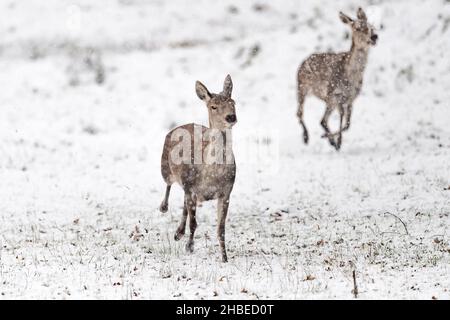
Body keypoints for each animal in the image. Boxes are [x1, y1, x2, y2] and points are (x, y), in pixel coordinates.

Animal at [159, 75, 237, 262]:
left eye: (233, 102)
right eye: (213, 106)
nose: (231, 117)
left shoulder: (226, 192)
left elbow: (221, 229)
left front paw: (225, 258)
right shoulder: (191, 185)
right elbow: (194, 224)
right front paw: (189, 246)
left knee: (184, 204)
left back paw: (178, 233)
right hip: (166, 168)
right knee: (169, 184)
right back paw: (164, 208)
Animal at [298, 7, 378, 150]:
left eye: (371, 27)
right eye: (357, 28)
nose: (374, 36)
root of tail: (304, 62)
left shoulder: (351, 98)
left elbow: (347, 124)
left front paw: (336, 141)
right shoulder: (337, 95)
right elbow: (342, 120)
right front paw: (338, 141)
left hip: (327, 99)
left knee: (322, 120)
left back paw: (330, 140)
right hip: (303, 88)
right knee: (301, 114)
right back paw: (307, 138)